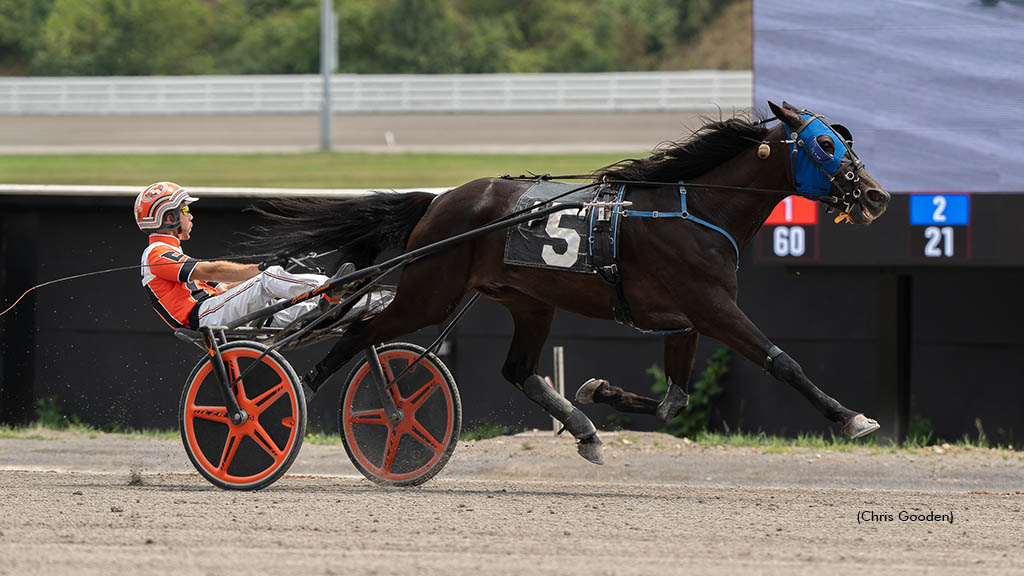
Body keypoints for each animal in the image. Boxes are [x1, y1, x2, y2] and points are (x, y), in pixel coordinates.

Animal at [253, 101, 888, 461]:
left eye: (845, 139)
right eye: (825, 144)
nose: (876, 195)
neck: (695, 210)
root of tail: (439, 201)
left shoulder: (684, 319)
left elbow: (673, 402)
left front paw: (596, 392)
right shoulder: (711, 308)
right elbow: (784, 363)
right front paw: (851, 417)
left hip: (528, 301)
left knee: (518, 370)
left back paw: (584, 430)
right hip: (428, 292)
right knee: (359, 334)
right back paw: (292, 395)